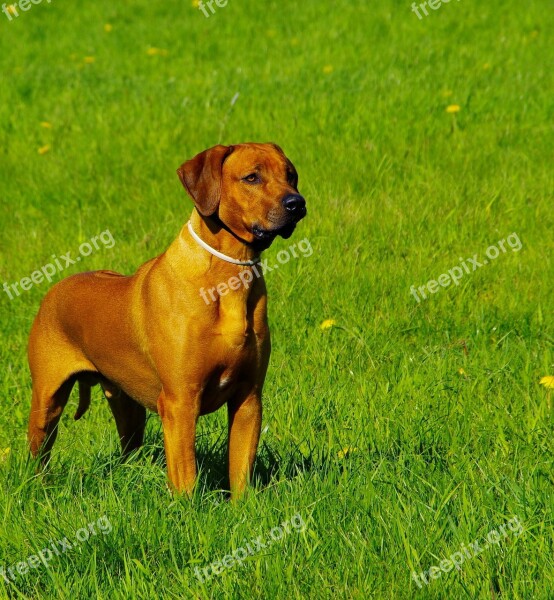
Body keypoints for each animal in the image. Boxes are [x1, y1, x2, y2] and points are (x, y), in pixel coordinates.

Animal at [27, 143, 306, 500]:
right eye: (251, 177)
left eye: (291, 175)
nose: (297, 203)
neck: (229, 275)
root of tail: (54, 290)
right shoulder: (180, 401)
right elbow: (185, 474)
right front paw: (188, 509)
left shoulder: (249, 396)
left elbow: (241, 469)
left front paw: (243, 507)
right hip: (46, 399)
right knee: (40, 448)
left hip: (126, 402)